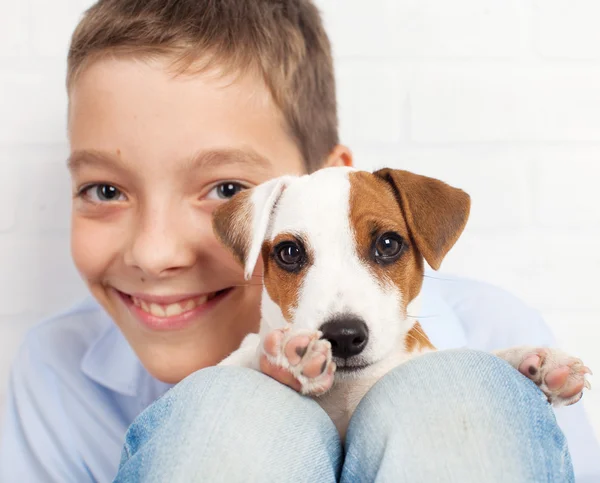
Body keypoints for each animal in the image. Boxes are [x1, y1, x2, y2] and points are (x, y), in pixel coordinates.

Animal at [211, 167, 592, 438]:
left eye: (388, 244)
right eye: (289, 252)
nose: (343, 336)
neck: (347, 390)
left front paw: (537, 361)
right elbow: (243, 356)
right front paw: (286, 355)